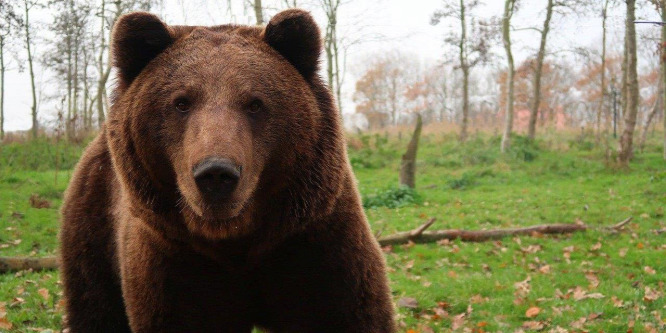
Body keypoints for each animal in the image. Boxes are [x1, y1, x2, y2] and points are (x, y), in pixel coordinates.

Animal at [59, 7, 394, 332]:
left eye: (255, 103)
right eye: (181, 102)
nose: (216, 173)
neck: (236, 241)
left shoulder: (313, 243)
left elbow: (346, 313)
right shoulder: (177, 263)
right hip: (94, 227)